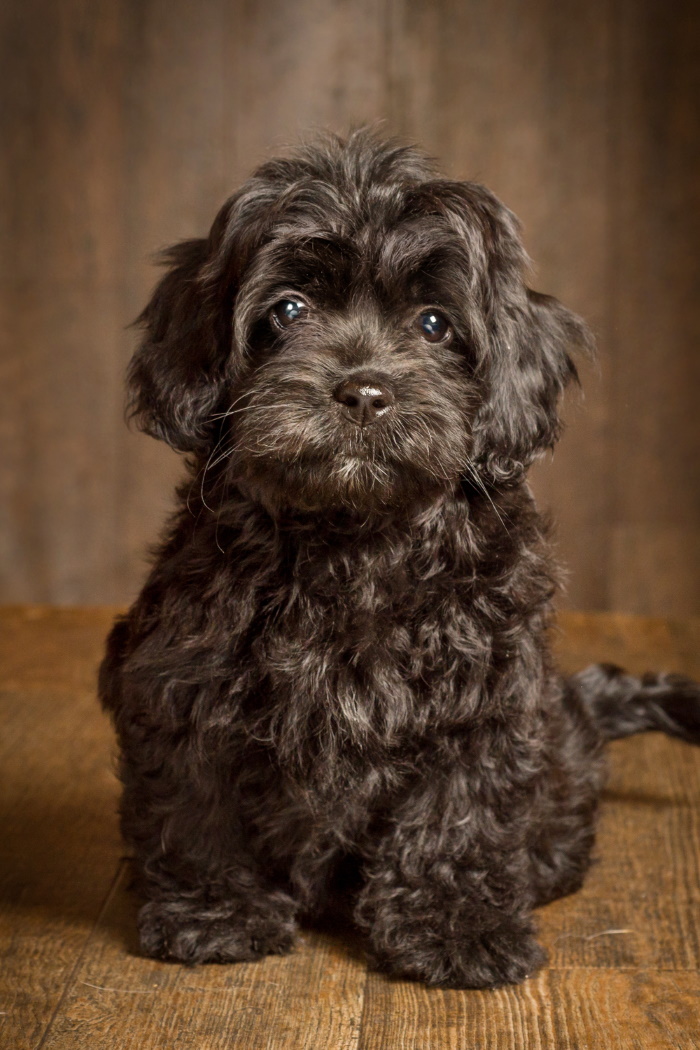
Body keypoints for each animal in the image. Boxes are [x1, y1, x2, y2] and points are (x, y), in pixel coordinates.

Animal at [99, 129, 700, 982]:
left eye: (434, 324)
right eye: (289, 310)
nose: (363, 392)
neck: (354, 538)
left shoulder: (485, 694)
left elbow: (460, 809)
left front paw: (455, 927)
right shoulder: (182, 680)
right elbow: (197, 804)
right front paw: (214, 912)